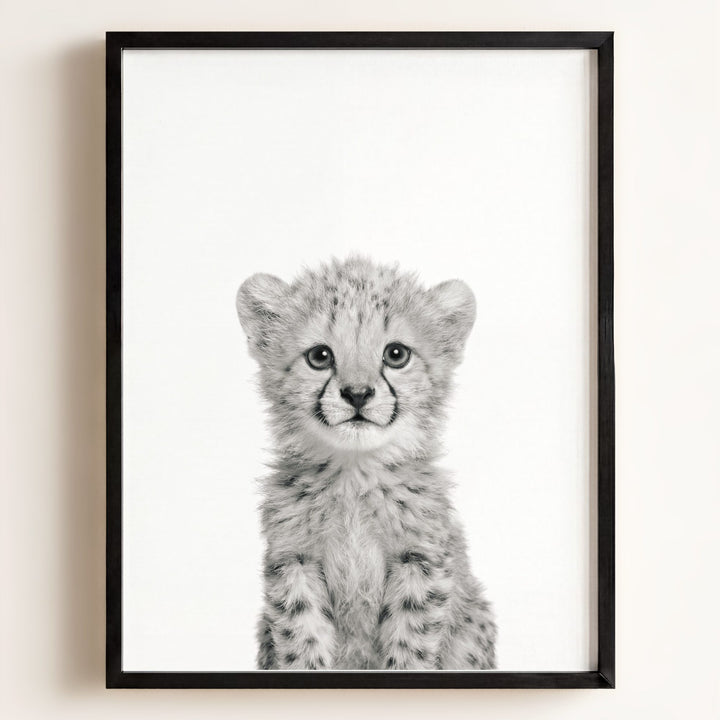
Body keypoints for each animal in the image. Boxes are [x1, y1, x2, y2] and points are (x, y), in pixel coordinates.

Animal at [236, 256, 496, 670]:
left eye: (396, 354)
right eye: (320, 356)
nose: (357, 394)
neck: (354, 476)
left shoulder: (420, 560)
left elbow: (410, 643)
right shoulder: (294, 560)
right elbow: (302, 638)